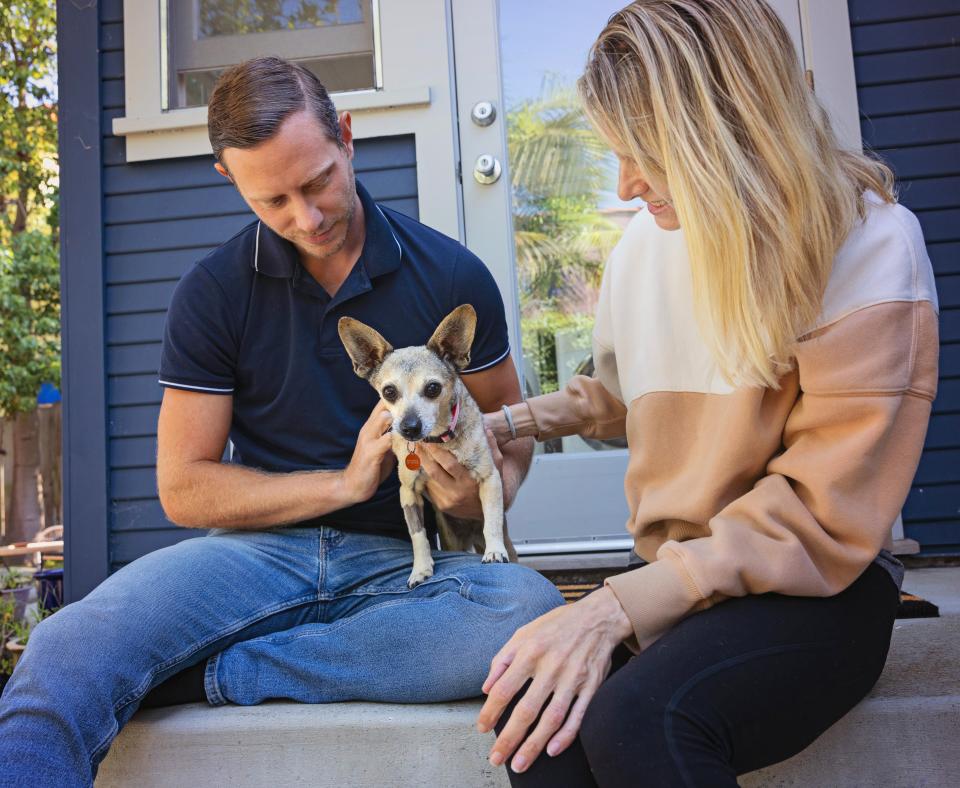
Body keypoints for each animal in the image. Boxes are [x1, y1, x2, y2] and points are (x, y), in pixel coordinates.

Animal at [338, 304, 516, 588]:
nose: (409, 427)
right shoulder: (409, 493)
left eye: (433, 388)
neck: (439, 441)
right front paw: (420, 569)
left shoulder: (489, 479)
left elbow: (492, 518)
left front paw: (494, 551)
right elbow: (418, 535)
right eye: (389, 392)